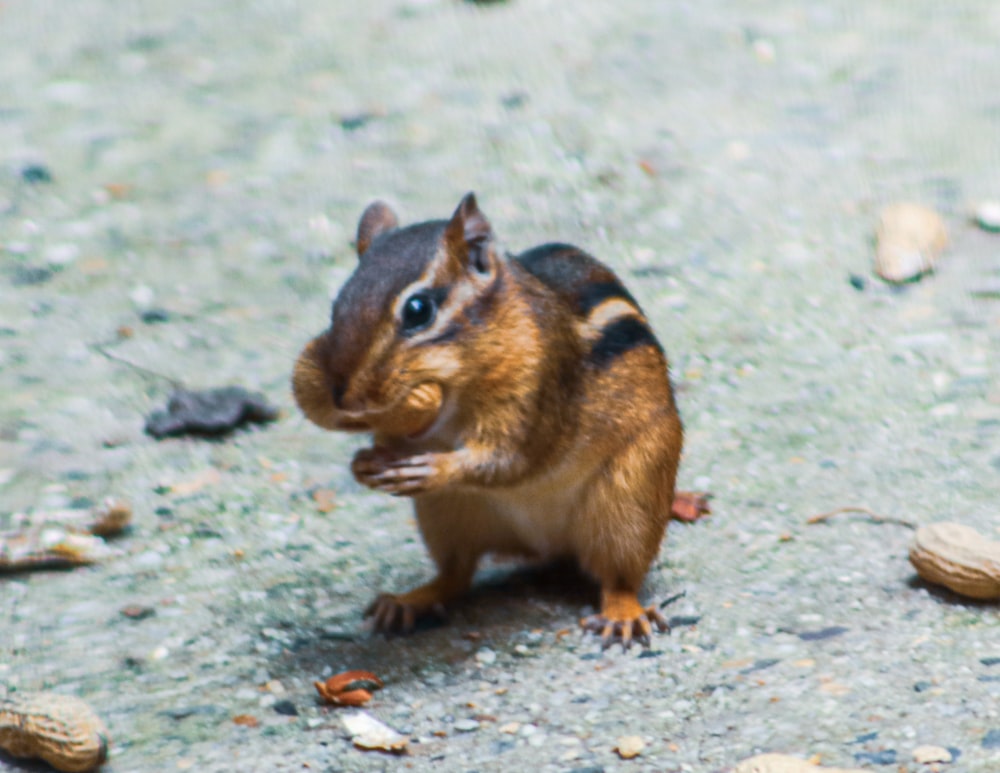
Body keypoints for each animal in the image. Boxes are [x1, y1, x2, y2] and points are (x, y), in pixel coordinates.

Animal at [292, 191, 708, 644]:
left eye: (418, 310)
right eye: (337, 304)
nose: (342, 396)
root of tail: (545, 544)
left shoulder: (538, 399)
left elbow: (509, 459)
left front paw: (436, 467)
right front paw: (363, 465)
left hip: (628, 501)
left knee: (617, 577)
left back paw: (623, 613)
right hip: (446, 513)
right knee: (455, 574)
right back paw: (408, 601)